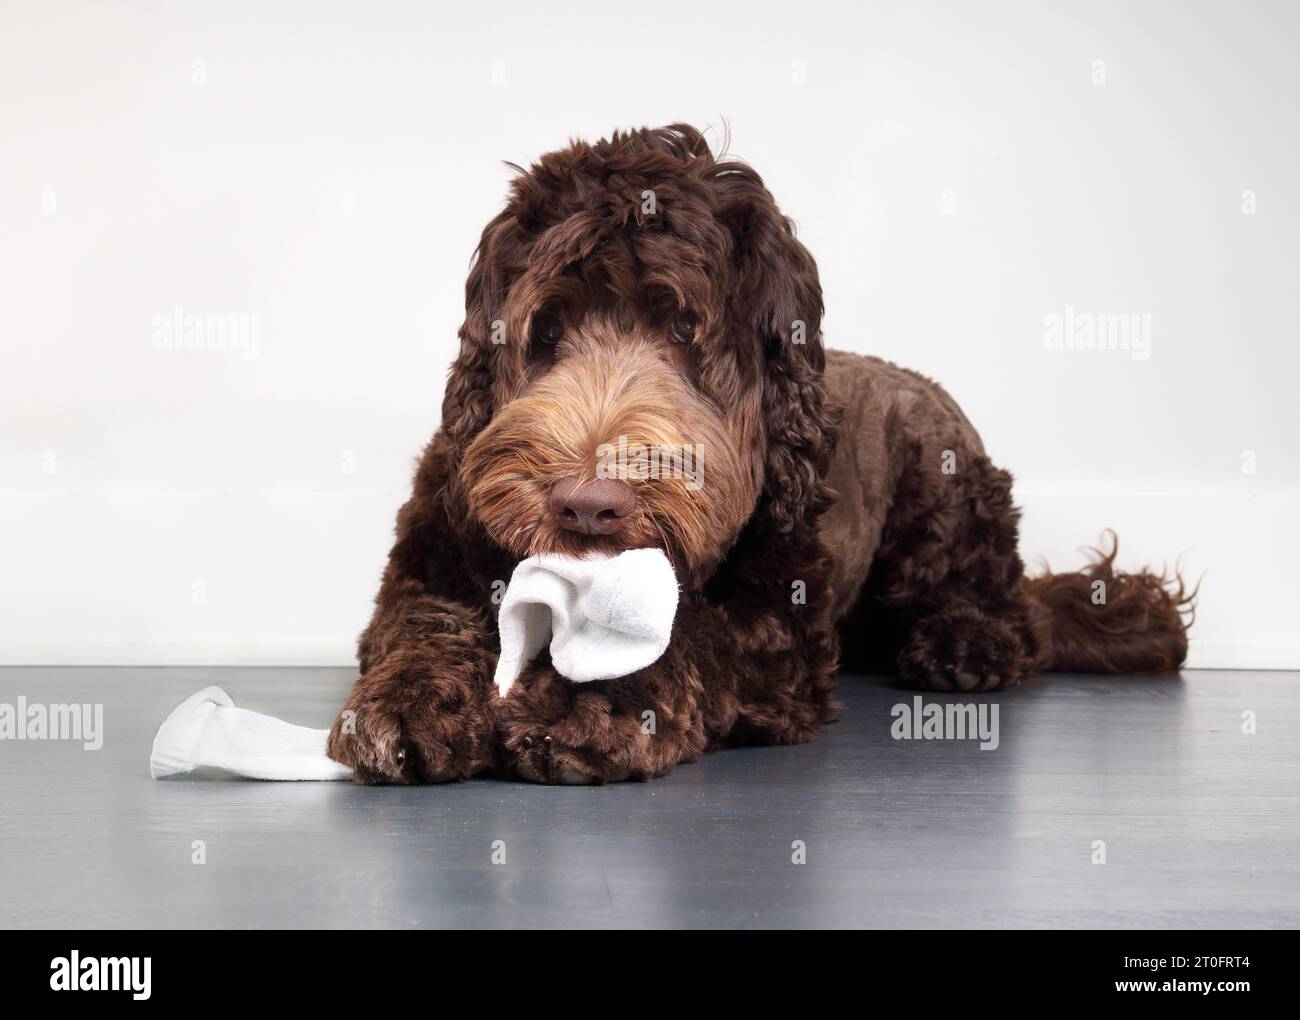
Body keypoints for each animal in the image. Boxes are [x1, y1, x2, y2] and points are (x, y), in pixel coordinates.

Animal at [322, 123, 1190, 784]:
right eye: (547, 330)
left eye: (683, 328)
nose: (588, 507)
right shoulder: (433, 558)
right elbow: (419, 624)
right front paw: (408, 701)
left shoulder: (779, 622)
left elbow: (693, 640)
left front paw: (585, 702)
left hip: (944, 501)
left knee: (1014, 611)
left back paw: (963, 641)